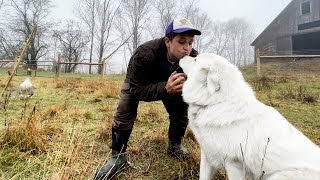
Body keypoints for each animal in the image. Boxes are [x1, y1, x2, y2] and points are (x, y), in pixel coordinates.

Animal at [179, 53, 320, 180]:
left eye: (195, 59)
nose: (182, 56)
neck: (214, 103)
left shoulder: (233, 164)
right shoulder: (207, 155)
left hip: (278, 176)